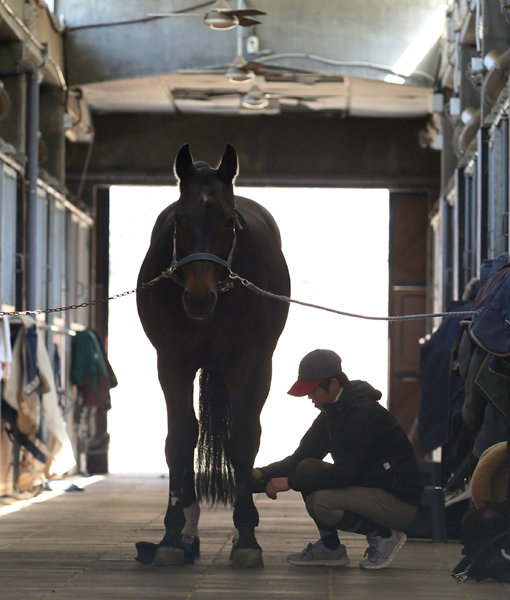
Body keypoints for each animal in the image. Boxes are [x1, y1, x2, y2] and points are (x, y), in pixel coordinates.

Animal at [135, 144, 288, 568]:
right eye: (179, 219)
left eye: (227, 221)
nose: (199, 299)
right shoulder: (172, 363)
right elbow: (180, 438)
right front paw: (172, 535)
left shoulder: (253, 365)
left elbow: (244, 440)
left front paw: (247, 537)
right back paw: (188, 535)